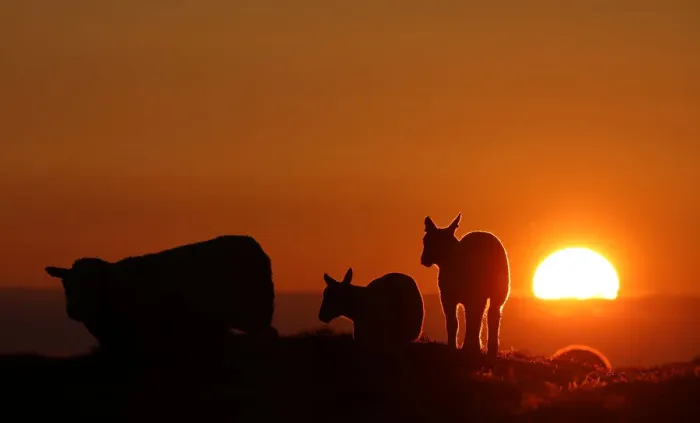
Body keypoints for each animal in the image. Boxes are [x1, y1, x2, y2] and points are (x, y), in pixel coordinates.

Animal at [420, 213, 511, 357]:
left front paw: (455, 346)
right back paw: (490, 349)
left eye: (426, 241)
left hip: (481, 290)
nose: (423, 259)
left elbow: (454, 321)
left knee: (478, 316)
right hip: (497, 290)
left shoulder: (447, 296)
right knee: (492, 314)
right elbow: (467, 319)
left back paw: (473, 346)